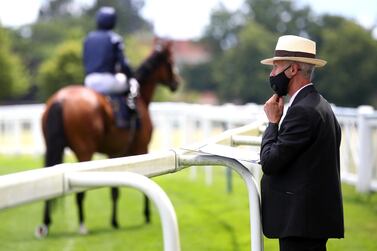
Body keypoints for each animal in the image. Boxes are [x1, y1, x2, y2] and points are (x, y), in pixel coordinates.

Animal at [35, 39, 179, 237]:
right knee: (80, 191)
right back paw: (82, 225)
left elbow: (114, 189)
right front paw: (147, 215)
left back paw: (46, 223)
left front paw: (115, 221)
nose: (176, 82)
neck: (138, 98)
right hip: (84, 151)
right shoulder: (141, 148)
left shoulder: (114, 153)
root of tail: (61, 99)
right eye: (171, 61)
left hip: (52, 147)